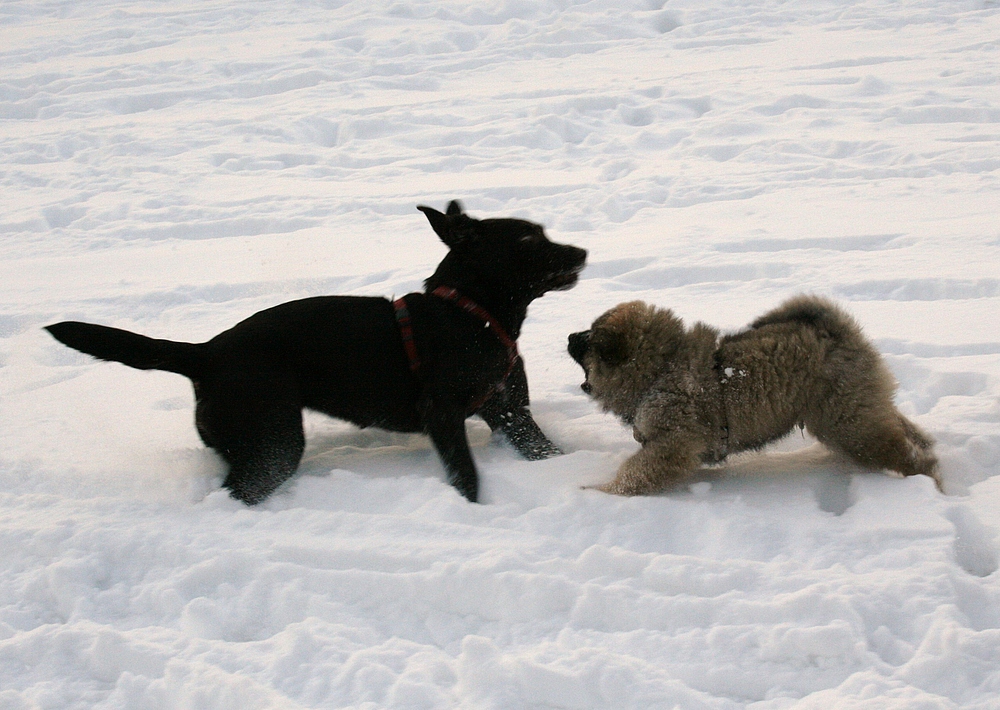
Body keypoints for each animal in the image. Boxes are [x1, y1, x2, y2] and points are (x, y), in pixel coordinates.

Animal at [47, 202, 588, 506]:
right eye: (528, 238)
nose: (581, 252)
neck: (471, 312)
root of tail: (206, 353)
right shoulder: (444, 415)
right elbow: (467, 476)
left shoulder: (511, 412)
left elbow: (545, 451)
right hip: (275, 443)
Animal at [568, 294, 940, 496]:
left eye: (588, 338)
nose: (570, 335)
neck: (660, 369)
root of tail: (834, 331)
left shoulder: (671, 444)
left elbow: (634, 473)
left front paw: (598, 493)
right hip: (858, 406)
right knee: (898, 423)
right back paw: (927, 443)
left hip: (848, 423)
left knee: (904, 454)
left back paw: (932, 480)